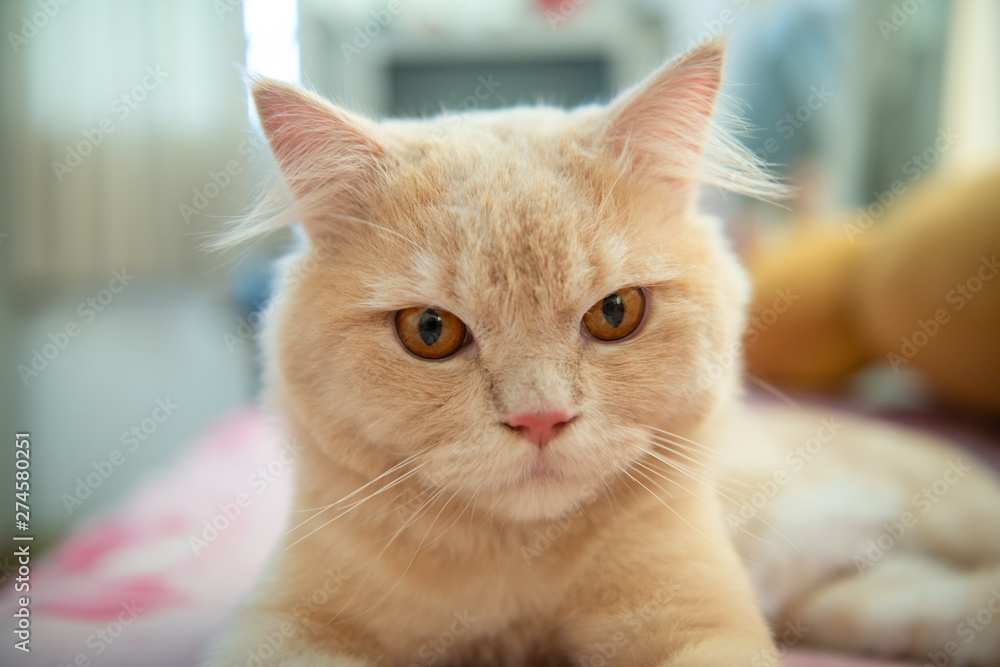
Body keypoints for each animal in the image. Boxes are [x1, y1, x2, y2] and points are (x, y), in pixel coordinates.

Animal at [203, 43, 1000, 667]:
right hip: (861, 595)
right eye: (430, 330)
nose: (541, 419)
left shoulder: (698, 617)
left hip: (947, 510)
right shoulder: (281, 625)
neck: (516, 576)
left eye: (616, 314)